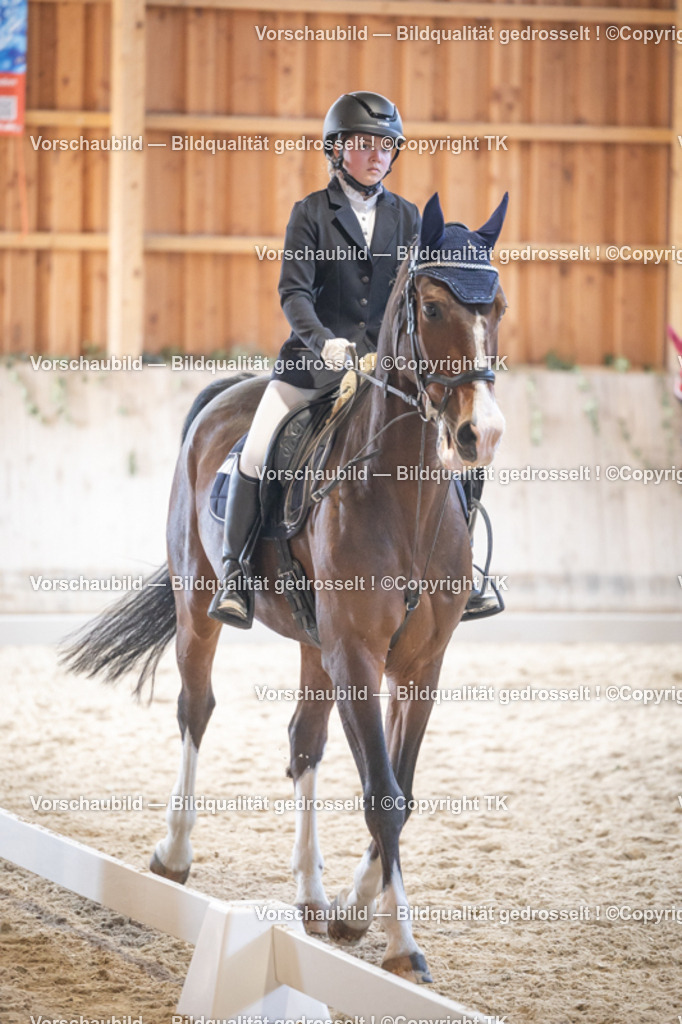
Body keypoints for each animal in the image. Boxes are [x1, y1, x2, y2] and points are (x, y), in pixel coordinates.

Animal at [62, 191, 508, 985]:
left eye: (501, 309)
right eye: (430, 307)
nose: (478, 435)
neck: (407, 499)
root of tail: (227, 392)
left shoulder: (418, 664)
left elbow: (401, 788)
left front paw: (354, 913)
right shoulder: (357, 652)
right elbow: (382, 794)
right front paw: (401, 945)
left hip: (313, 643)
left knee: (304, 741)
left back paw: (310, 892)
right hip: (200, 604)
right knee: (197, 708)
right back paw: (174, 853)